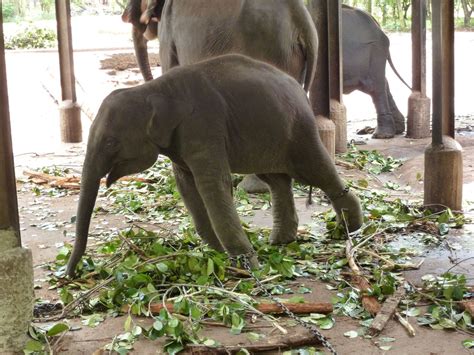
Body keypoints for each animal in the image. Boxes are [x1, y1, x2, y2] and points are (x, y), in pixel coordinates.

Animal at [65, 55, 362, 278]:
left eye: (111, 143)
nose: (68, 274)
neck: (152, 89)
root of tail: (299, 88)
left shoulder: (203, 125)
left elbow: (212, 185)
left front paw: (247, 266)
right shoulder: (180, 142)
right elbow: (187, 187)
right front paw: (219, 256)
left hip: (298, 130)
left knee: (315, 170)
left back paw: (350, 228)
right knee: (277, 180)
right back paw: (281, 241)